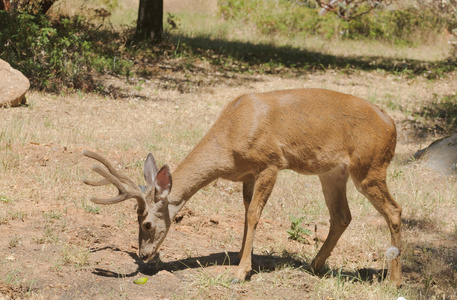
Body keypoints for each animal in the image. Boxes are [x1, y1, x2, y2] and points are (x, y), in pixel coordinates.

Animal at [83, 88, 400, 286]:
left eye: (146, 223)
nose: (143, 255)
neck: (230, 140)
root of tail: (392, 124)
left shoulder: (271, 163)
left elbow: (253, 215)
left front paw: (240, 272)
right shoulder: (248, 173)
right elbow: (246, 211)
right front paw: (238, 256)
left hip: (370, 167)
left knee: (394, 211)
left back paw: (394, 280)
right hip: (333, 172)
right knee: (342, 216)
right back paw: (314, 265)